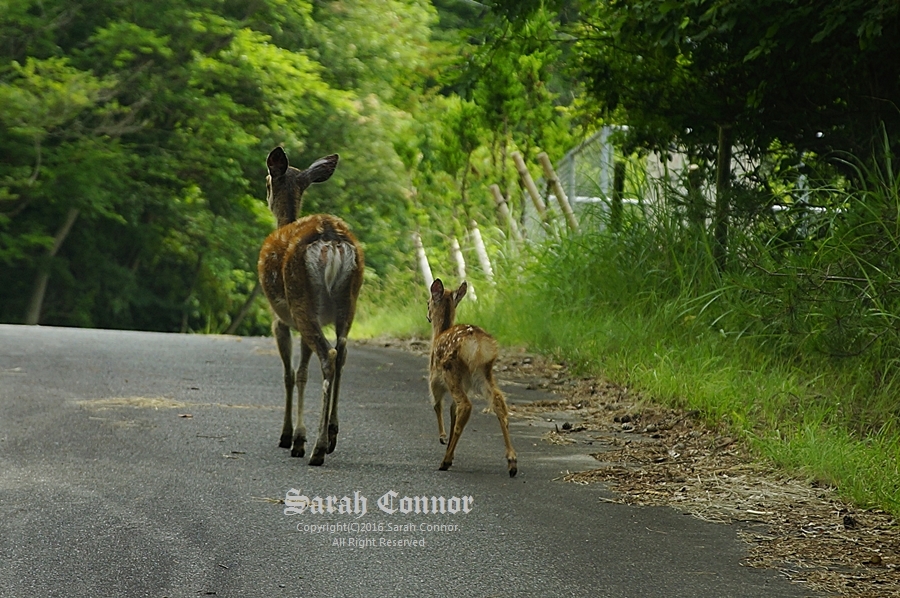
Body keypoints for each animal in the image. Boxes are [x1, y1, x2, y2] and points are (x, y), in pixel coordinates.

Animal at [256, 148, 362, 466]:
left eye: (267, 180)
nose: (265, 196)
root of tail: (333, 242)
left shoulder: (279, 319)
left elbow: (290, 375)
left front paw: (290, 436)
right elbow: (303, 372)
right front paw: (297, 436)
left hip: (301, 298)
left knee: (328, 355)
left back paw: (317, 447)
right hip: (348, 302)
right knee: (341, 353)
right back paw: (332, 434)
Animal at [428, 278, 516, 480]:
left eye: (428, 303)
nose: (427, 315)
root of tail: (479, 343)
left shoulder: (433, 377)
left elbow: (437, 404)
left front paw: (443, 437)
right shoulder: (465, 383)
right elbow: (451, 410)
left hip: (450, 370)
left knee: (465, 405)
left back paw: (445, 461)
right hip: (482, 373)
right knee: (497, 401)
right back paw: (512, 462)